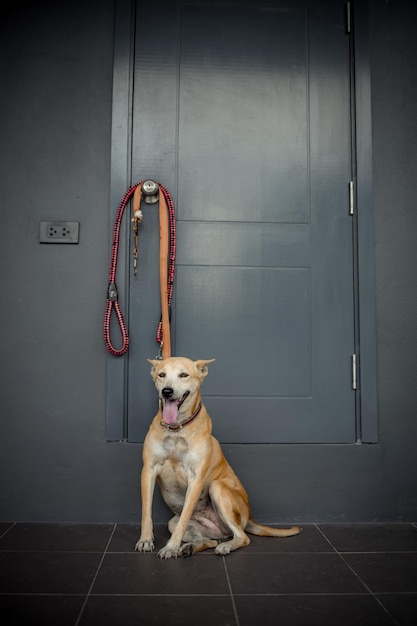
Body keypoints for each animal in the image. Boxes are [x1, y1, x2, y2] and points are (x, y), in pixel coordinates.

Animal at [134, 356, 300, 556]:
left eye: (183, 375)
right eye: (162, 375)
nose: (167, 391)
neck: (177, 429)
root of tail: (249, 518)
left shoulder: (196, 478)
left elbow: (184, 516)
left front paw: (171, 547)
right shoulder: (148, 470)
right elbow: (146, 512)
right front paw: (145, 540)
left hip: (217, 488)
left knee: (242, 537)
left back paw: (225, 546)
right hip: (174, 523)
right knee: (208, 540)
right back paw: (189, 548)